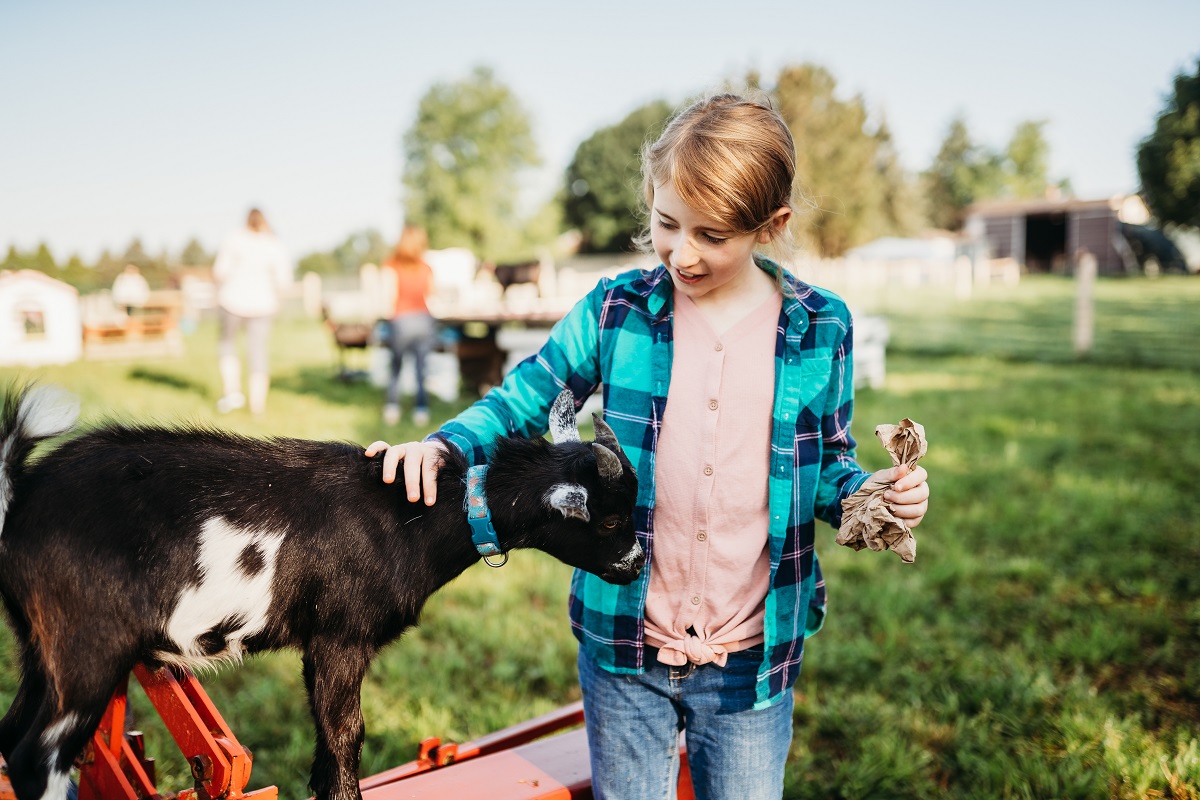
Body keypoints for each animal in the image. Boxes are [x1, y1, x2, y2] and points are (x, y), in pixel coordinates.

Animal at [0, 386, 643, 800]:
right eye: (610, 520)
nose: (637, 565)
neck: (413, 519)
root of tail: (22, 498)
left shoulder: (319, 646)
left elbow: (327, 746)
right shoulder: (341, 636)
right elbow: (344, 737)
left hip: (42, 647)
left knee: (12, 738)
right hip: (88, 647)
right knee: (38, 759)